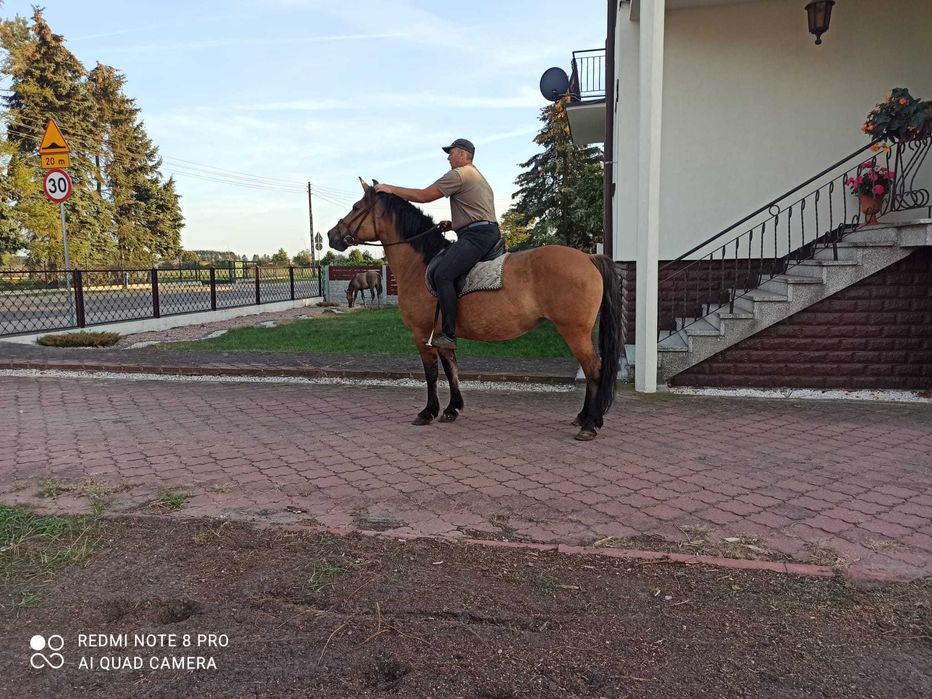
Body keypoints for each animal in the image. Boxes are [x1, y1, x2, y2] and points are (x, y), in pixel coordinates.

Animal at [328, 180, 620, 442]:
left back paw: (590, 424)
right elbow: (452, 370)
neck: (421, 264)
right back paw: (584, 418)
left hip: (575, 332)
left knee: (594, 369)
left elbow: (431, 374)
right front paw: (451, 409)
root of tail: (589, 258)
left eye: (356, 207)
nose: (332, 235)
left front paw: (428, 412)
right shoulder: (442, 336)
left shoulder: (422, 334)